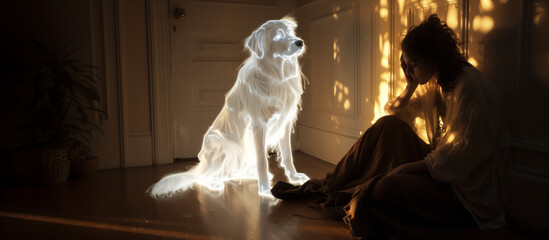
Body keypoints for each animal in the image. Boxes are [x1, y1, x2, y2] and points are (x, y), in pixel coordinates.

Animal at [149, 16, 308, 197]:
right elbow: (262, 160)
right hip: (219, 145)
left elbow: (288, 155)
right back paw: (215, 182)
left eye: (290, 32)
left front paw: (294, 177)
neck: (276, 74)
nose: (300, 42)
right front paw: (265, 189)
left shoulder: (284, 123)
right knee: (202, 178)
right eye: (278, 36)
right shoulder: (258, 125)